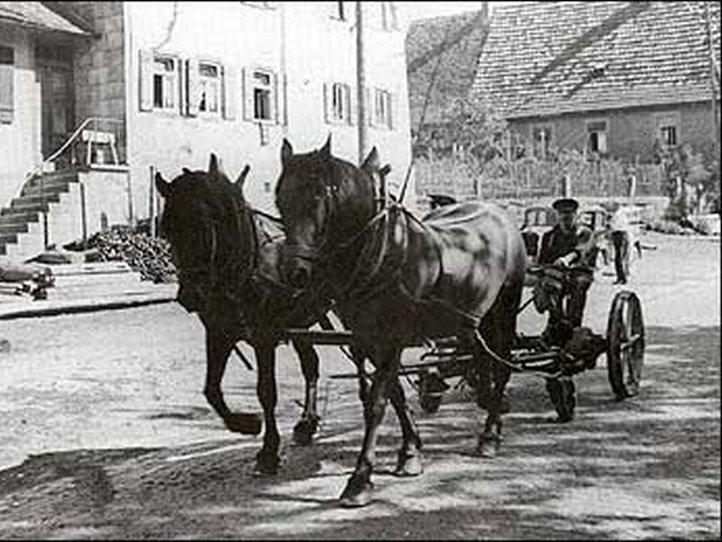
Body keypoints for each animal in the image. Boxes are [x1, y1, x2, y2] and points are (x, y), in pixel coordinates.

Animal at [154, 154, 340, 476]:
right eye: (167, 229)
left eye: (206, 225)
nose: (190, 296)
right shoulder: (219, 332)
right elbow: (211, 389)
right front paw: (246, 424)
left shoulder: (264, 336)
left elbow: (266, 391)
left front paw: (269, 451)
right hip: (300, 320)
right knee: (311, 364)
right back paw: (307, 423)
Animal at [272, 138, 524, 508]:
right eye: (279, 198)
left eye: (317, 198)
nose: (295, 273)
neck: (383, 250)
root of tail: (499, 212)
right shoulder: (366, 337)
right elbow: (394, 392)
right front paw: (411, 452)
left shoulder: (392, 336)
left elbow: (377, 403)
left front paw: (360, 479)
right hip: (473, 318)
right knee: (481, 357)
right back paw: (490, 407)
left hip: (505, 306)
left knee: (502, 361)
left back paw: (490, 434)